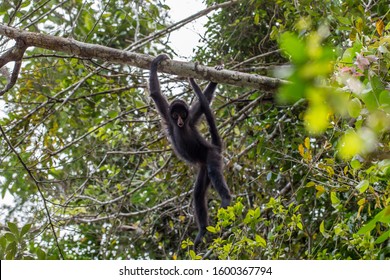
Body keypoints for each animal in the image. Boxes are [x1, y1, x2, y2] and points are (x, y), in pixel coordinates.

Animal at [148, 53, 230, 246]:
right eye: (175, 114)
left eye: (183, 114)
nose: (179, 121)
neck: (182, 125)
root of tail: (213, 147)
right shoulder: (168, 118)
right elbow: (155, 94)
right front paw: (157, 61)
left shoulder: (191, 119)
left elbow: (203, 102)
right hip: (203, 167)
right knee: (198, 194)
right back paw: (202, 231)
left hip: (211, 156)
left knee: (214, 172)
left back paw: (226, 199)